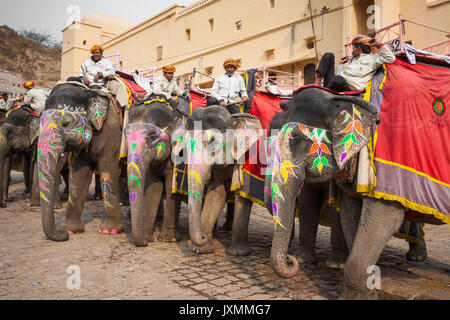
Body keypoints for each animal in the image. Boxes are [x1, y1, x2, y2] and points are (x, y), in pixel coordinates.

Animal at [37, 82, 123, 240]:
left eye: (65, 123)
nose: (62, 234)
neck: (90, 93)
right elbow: (78, 176)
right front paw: (70, 230)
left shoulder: (113, 134)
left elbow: (109, 170)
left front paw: (109, 231)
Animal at [264, 87, 380, 280]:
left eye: (297, 141)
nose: (289, 259)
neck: (335, 97)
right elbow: (343, 214)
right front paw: (305, 260)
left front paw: (337, 265)